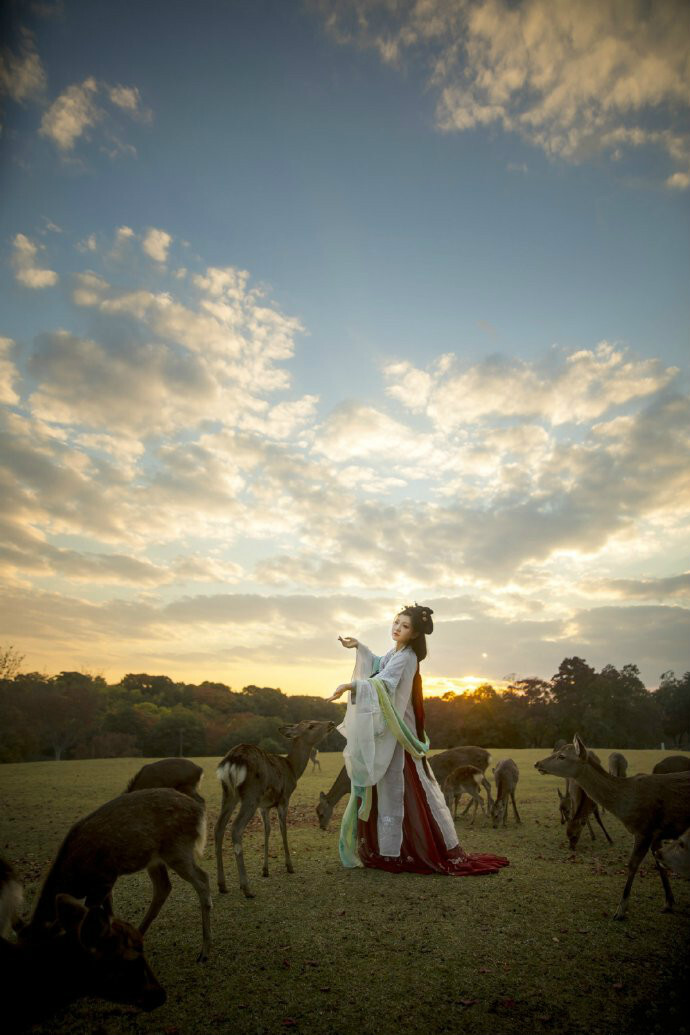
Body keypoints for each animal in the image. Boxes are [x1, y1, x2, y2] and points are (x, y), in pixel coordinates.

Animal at [28, 790, 213, 960]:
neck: (75, 879)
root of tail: (200, 812)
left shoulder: (105, 877)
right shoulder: (106, 882)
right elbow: (108, 911)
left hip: (177, 849)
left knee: (203, 879)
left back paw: (204, 952)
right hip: (154, 859)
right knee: (164, 886)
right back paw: (139, 934)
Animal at [216, 720, 335, 898]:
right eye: (311, 725)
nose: (331, 723)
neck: (292, 769)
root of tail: (232, 760)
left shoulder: (264, 806)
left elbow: (267, 830)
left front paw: (265, 870)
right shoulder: (284, 798)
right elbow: (283, 829)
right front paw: (289, 866)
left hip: (228, 793)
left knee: (219, 827)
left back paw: (222, 885)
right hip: (251, 794)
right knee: (236, 828)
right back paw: (246, 888)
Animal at [537, 732, 690, 919]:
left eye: (562, 756)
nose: (538, 763)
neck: (627, 803)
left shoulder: (645, 829)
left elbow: (632, 864)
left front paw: (620, 911)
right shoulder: (656, 833)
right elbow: (660, 862)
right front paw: (669, 902)